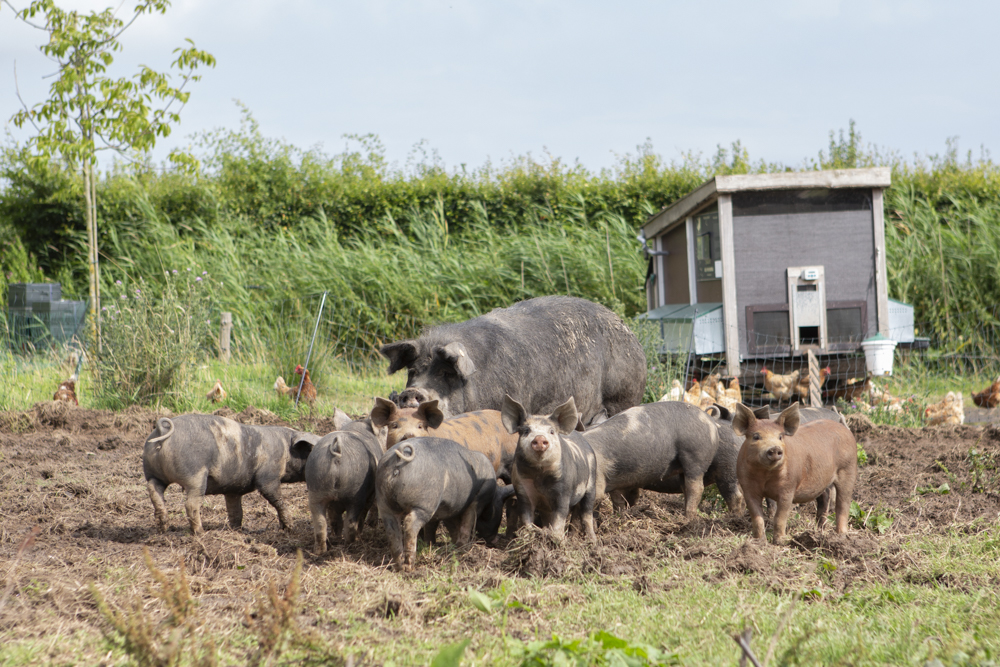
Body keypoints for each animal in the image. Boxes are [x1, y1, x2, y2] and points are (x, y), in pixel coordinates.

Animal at [143, 414, 319, 535]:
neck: (286, 450)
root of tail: (163, 429)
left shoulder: (233, 489)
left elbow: (235, 511)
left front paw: (237, 530)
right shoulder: (268, 477)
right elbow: (277, 500)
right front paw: (290, 528)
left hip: (152, 473)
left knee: (154, 492)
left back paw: (163, 529)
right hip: (195, 476)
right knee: (191, 504)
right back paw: (200, 533)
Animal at [305, 421, 383, 552]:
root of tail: (337, 449)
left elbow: (334, 517)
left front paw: (336, 536)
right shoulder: (370, 494)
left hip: (316, 488)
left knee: (320, 522)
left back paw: (320, 551)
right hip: (356, 495)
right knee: (351, 522)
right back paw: (353, 543)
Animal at [376, 437, 512, 571]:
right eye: (497, 511)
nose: (495, 540)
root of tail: (399, 458)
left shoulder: (447, 508)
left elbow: (440, 525)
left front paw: (435, 544)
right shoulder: (477, 500)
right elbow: (468, 521)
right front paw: (463, 547)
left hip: (384, 504)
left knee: (392, 530)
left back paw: (398, 567)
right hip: (424, 504)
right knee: (410, 524)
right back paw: (409, 568)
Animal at [501, 395, 597, 542]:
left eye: (551, 431)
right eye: (526, 431)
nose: (540, 438)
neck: (539, 475)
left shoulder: (564, 490)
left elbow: (560, 515)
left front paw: (557, 539)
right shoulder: (522, 489)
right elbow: (526, 516)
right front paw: (530, 536)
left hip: (591, 483)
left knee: (587, 512)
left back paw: (593, 541)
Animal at [733, 402, 858, 542]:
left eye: (780, 436)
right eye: (756, 436)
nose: (774, 448)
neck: (765, 474)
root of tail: (844, 428)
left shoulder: (789, 487)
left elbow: (780, 517)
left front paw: (780, 541)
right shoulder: (747, 488)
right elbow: (757, 517)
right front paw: (760, 541)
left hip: (848, 468)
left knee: (843, 503)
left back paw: (840, 536)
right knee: (824, 498)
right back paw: (819, 530)